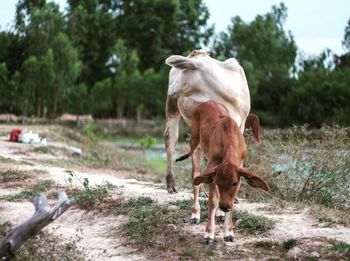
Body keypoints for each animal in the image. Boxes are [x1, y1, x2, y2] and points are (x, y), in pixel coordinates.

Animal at [165, 49, 252, 192]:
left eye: (184, 70)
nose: (170, 88)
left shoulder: (241, 126)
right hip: (172, 107)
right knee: (170, 139)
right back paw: (171, 184)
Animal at [189, 100, 268, 243]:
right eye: (218, 182)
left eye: (234, 183)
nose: (224, 206)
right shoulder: (212, 167)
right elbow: (213, 200)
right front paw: (209, 234)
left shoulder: (240, 169)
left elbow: (232, 199)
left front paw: (229, 232)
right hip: (195, 146)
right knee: (196, 179)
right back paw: (195, 214)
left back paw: (219, 214)